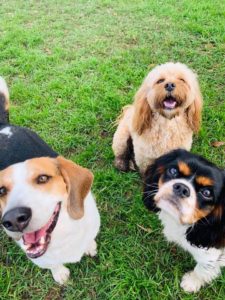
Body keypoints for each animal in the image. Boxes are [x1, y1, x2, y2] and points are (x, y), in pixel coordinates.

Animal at [0, 77, 100, 284]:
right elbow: (52, 264)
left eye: (43, 178)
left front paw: (89, 247)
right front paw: (60, 273)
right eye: (2, 190)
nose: (13, 219)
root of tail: (2, 125)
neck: (61, 232)